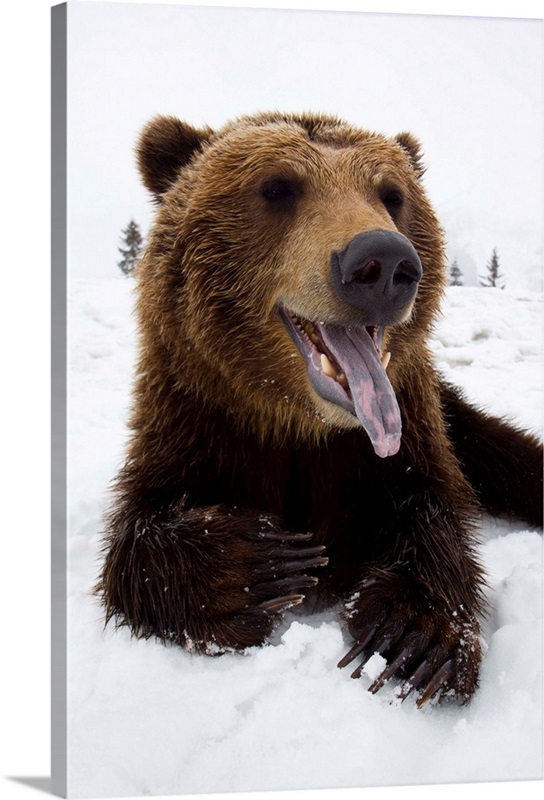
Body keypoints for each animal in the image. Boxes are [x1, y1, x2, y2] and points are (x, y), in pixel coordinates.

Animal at [99, 111, 544, 708]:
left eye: (392, 194)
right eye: (277, 187)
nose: (384, 261)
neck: (298, 424)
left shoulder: (402, 429)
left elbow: (435, 505)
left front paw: (414, 635)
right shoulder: (195, 417)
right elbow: (137, 534)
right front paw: (264, 564)